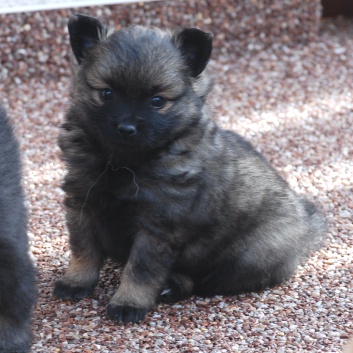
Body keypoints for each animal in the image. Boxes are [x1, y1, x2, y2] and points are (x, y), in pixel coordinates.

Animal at [53, 13, 326, 322]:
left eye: (157, 101)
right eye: (107, 93)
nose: (126, 128)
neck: (124, 163)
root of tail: (307, 229)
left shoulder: (157, 226)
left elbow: (141, 270)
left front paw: (128, 302)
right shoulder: (82, 205)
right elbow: (83, 250)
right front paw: (76, 281)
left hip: (251, 255)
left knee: (203, 281)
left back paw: (172, 286)